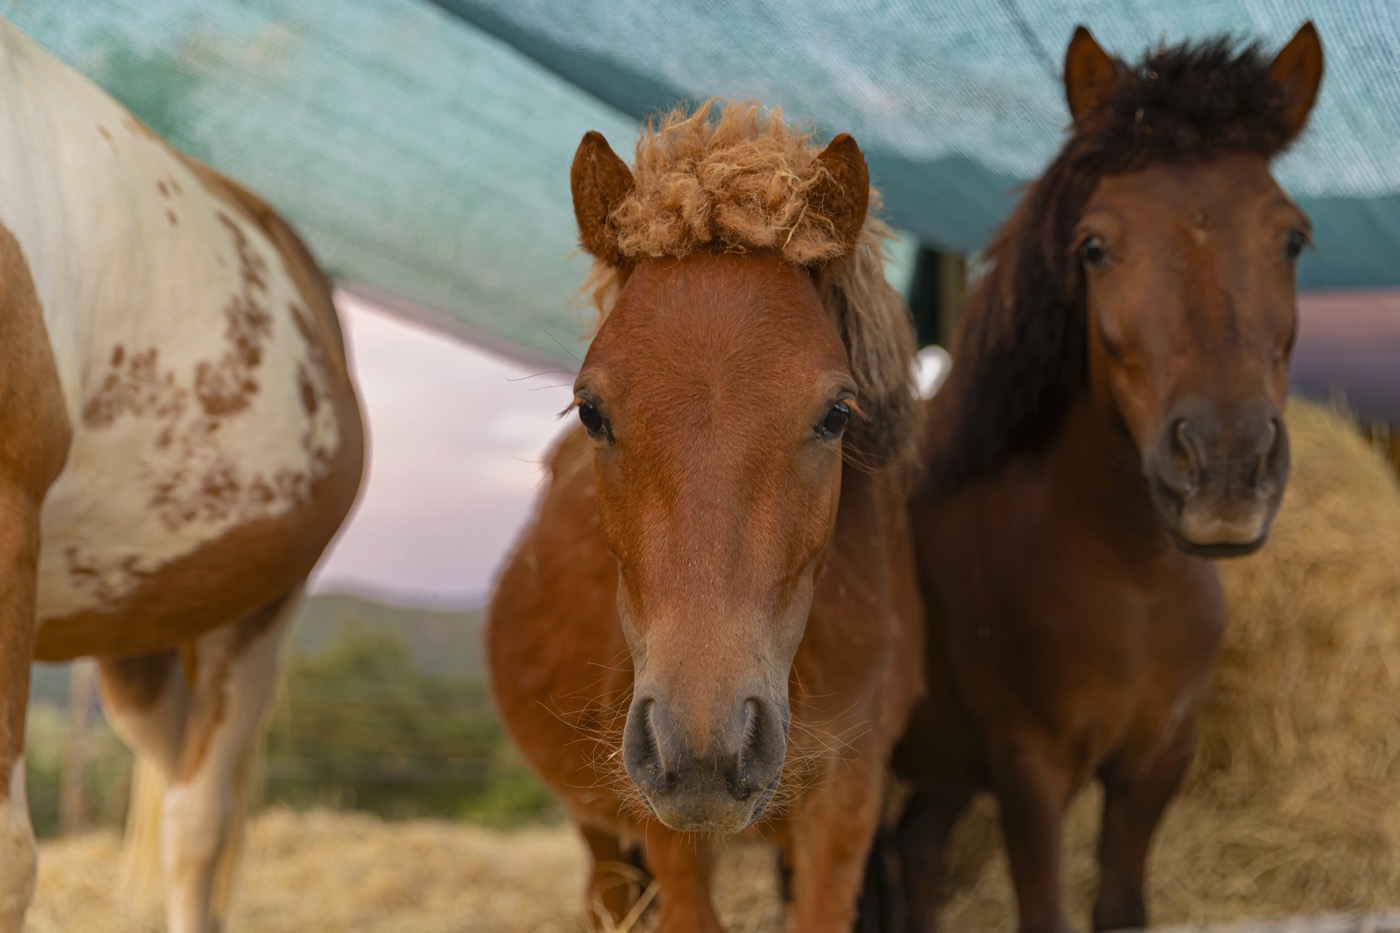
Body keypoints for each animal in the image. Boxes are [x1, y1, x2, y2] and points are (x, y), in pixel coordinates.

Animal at [487, 101, 924, 932]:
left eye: (837, 413)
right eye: (591, 410)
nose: (704, 751)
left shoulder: (848, 803)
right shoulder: (667, 832)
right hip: (600, 827)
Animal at [875, 23, 1324, 933]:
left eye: (1291, 238)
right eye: (1094, 246)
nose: (1226, 462)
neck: (1129, 579)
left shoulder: (1156, 762)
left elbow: (1120, 903)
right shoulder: (1028, 768)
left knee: (915, 857)